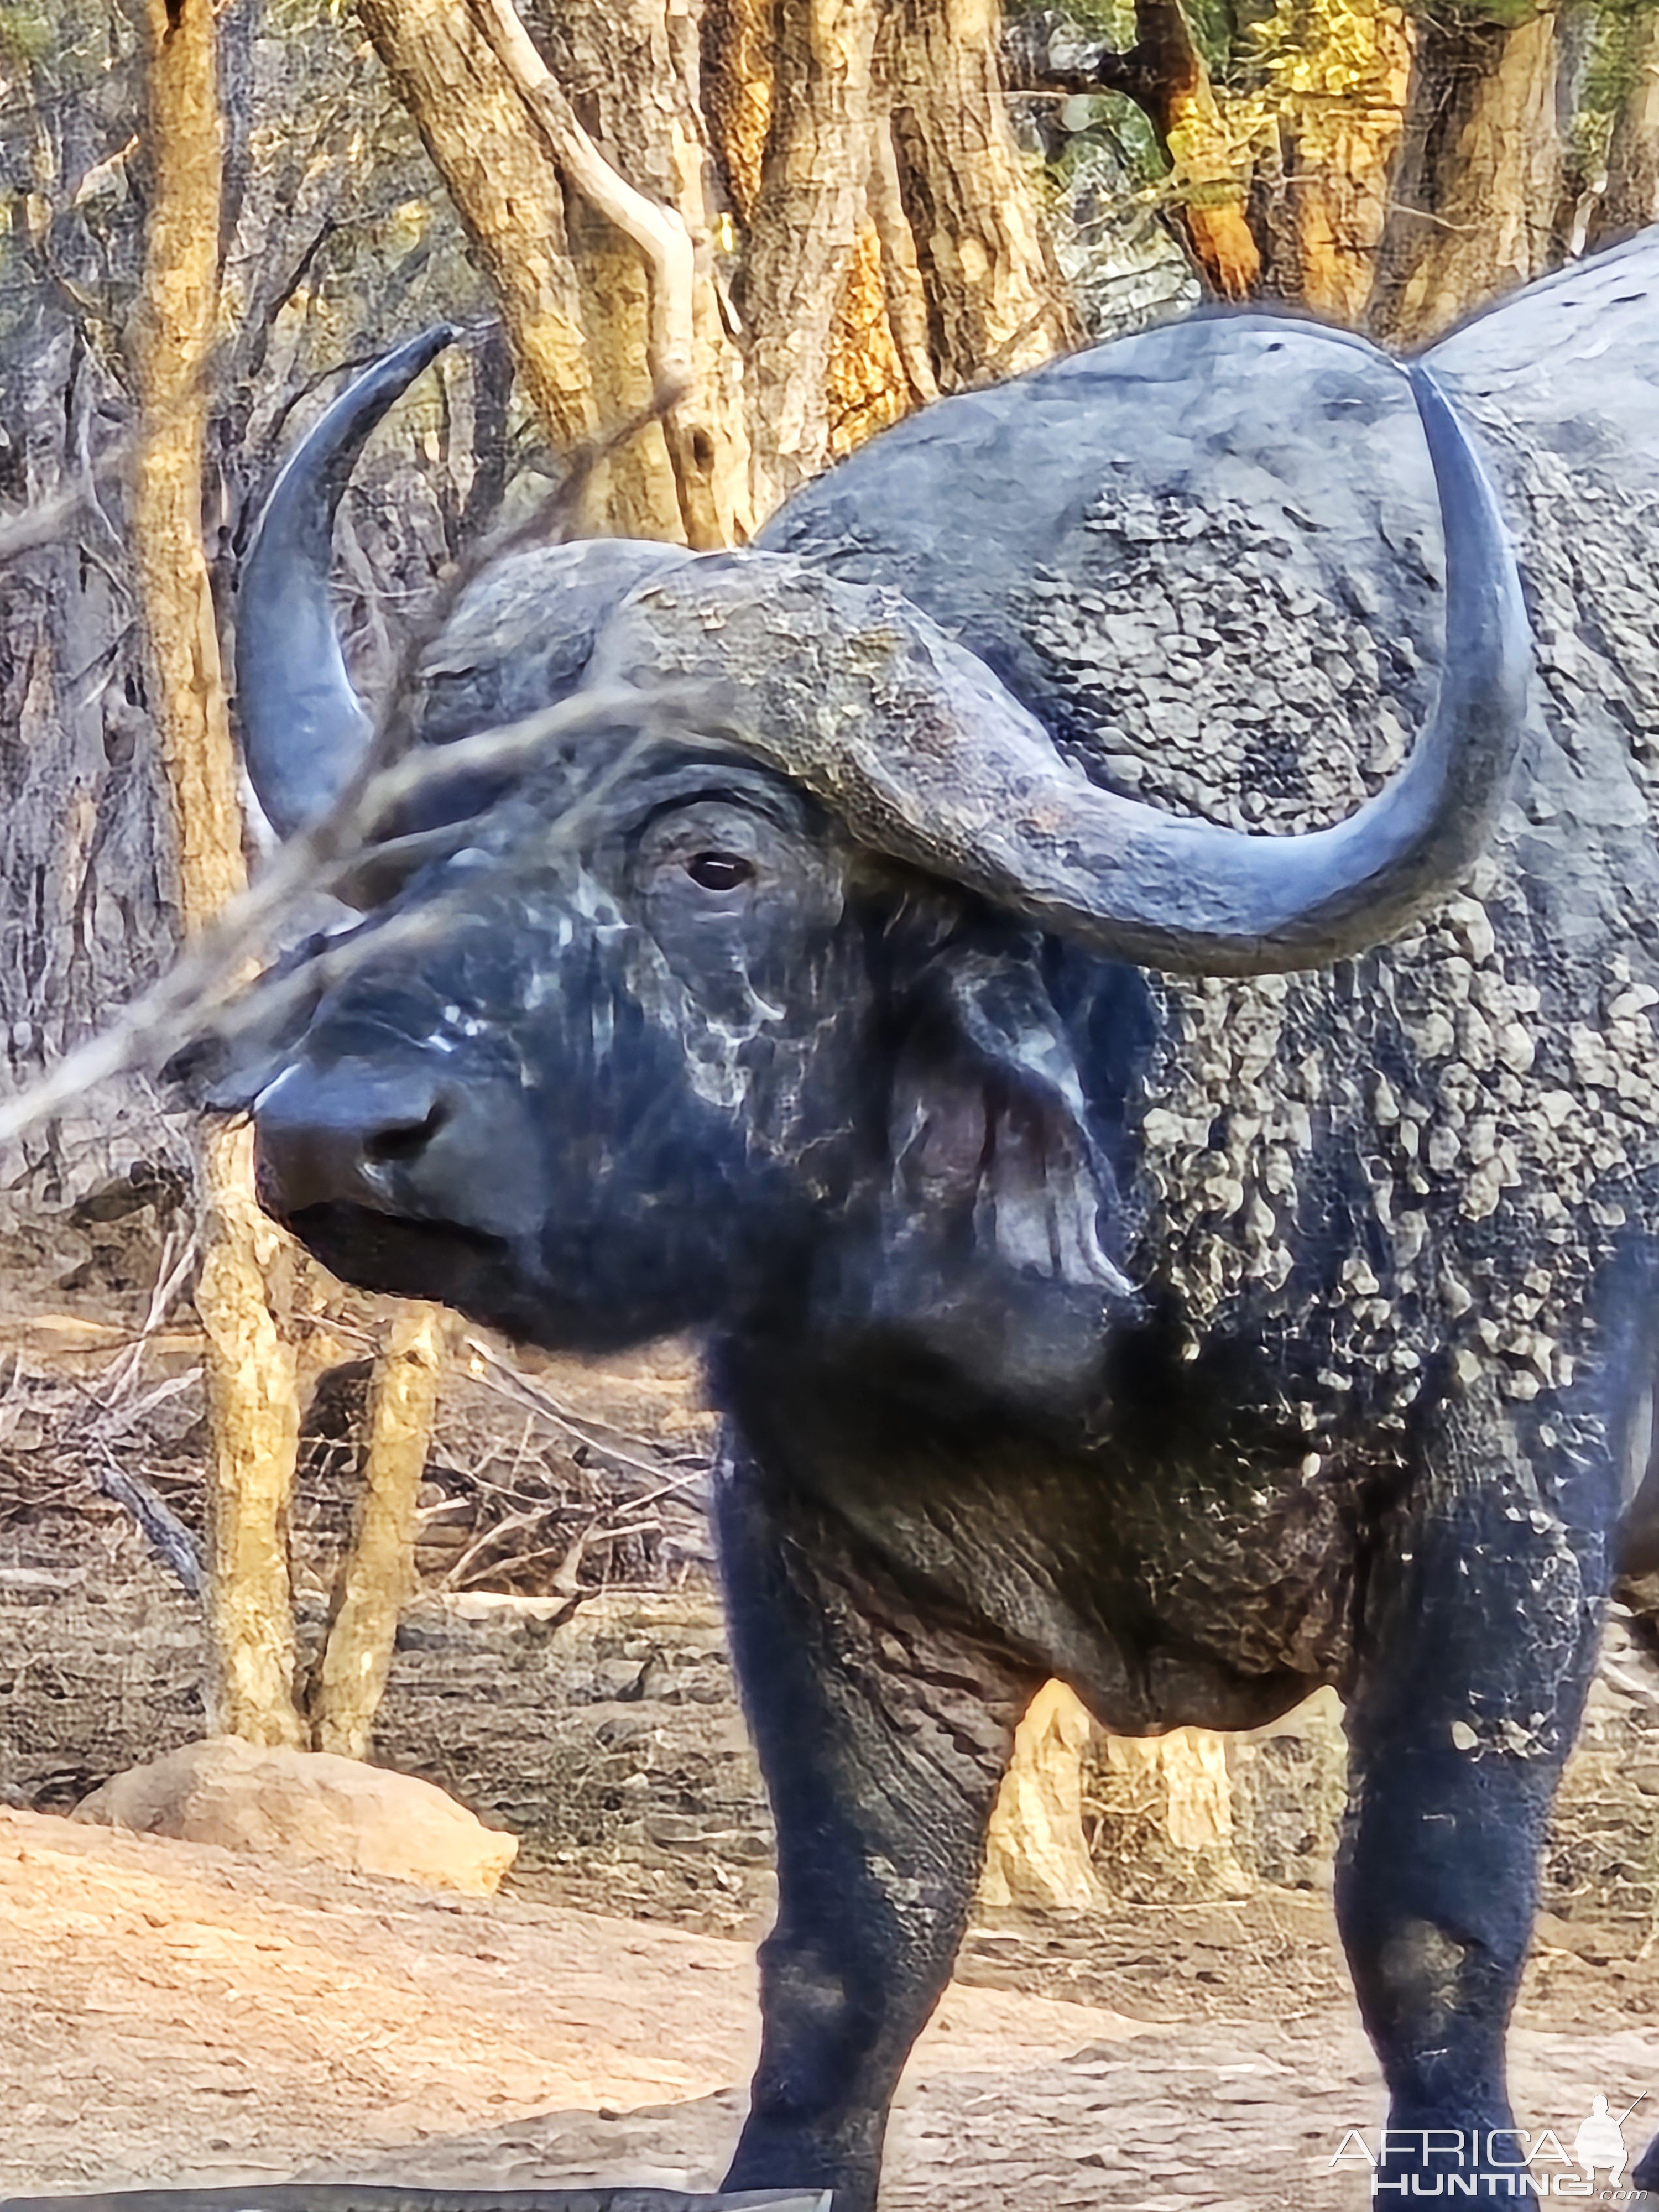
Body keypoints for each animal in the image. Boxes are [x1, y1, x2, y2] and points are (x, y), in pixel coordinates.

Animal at [228, 233, 1659, 2203]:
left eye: (715, 858)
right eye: (415, 851)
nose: (333, 1130)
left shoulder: (1510, 1498)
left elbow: (1431, 1919)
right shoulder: (815, 1525)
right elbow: (855, 1945)